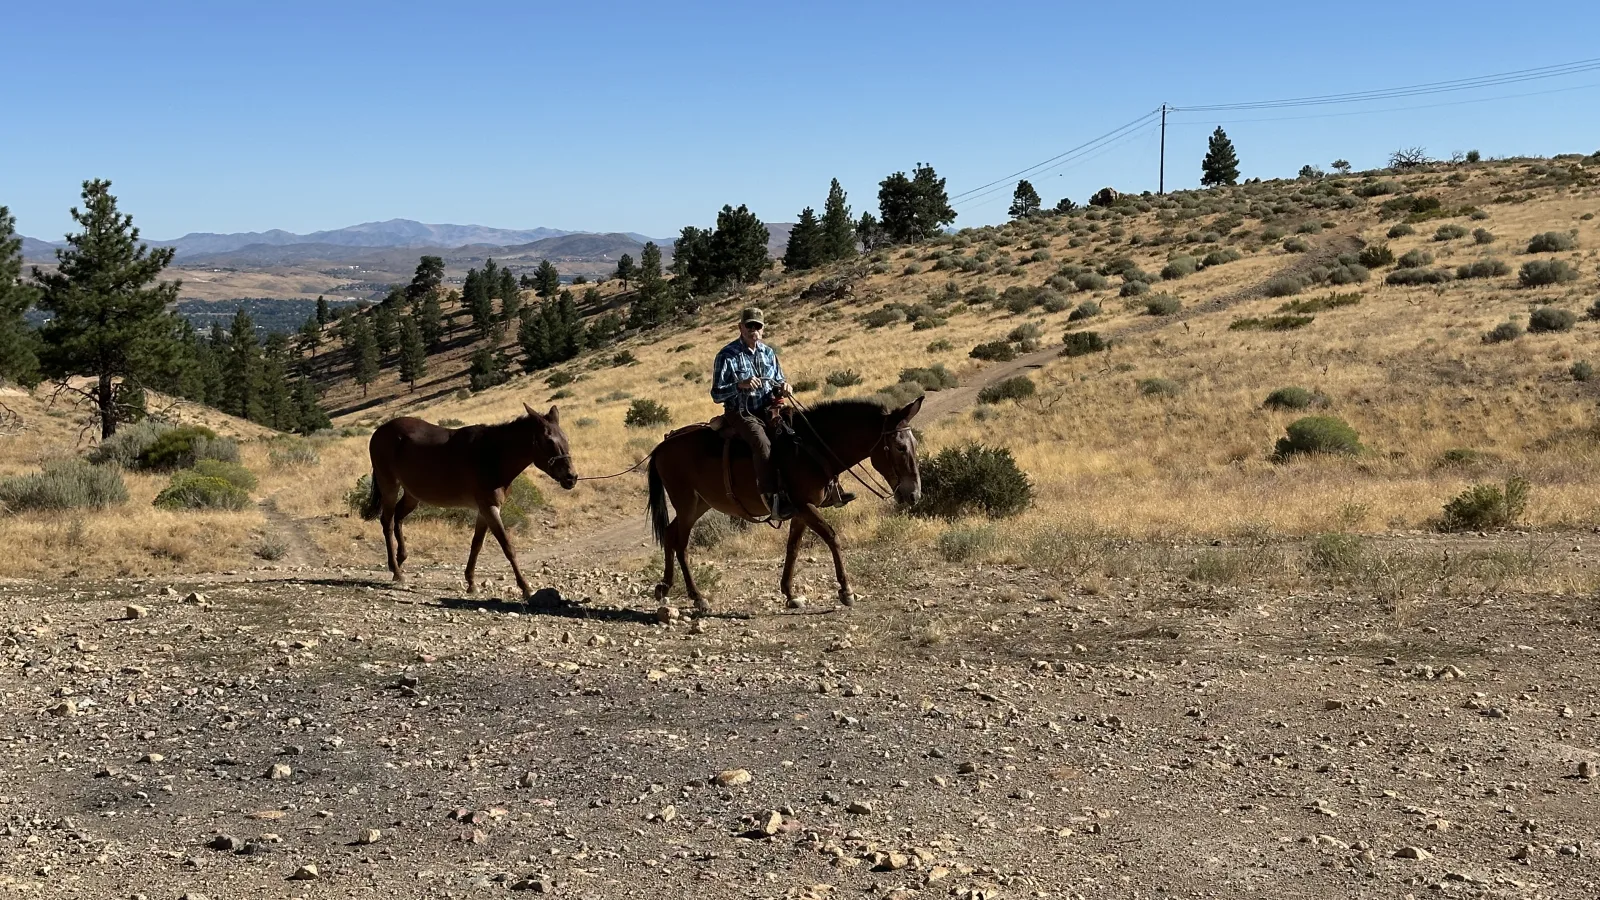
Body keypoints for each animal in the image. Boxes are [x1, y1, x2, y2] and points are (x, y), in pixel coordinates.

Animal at [361, 404, 577, 598]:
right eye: (549, 441)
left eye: (566, 438)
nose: (571, 477)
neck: (493, 455)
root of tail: (380, 430)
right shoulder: (489, 508)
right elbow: (508, 547)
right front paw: (525, 587)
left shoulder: (484, 510)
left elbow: (476, 544)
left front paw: (471, 582)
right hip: (389, 485)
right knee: (387, 522)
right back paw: (396, 570)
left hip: (412, 494)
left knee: (398, 517)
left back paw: (400, 559)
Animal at [646, 396, 923, 611]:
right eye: (899, 447)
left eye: (914, 444)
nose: (914, 495)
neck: (812, 448)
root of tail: (662, 445)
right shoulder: (804, 506)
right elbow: (831, 537)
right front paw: (846, 591)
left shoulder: (800, 511)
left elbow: (793, 548)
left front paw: (790, 594)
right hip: (686, 502)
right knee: (681, 544)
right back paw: (698, 597)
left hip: (699, 504)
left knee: (670, 534)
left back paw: (664, 587)